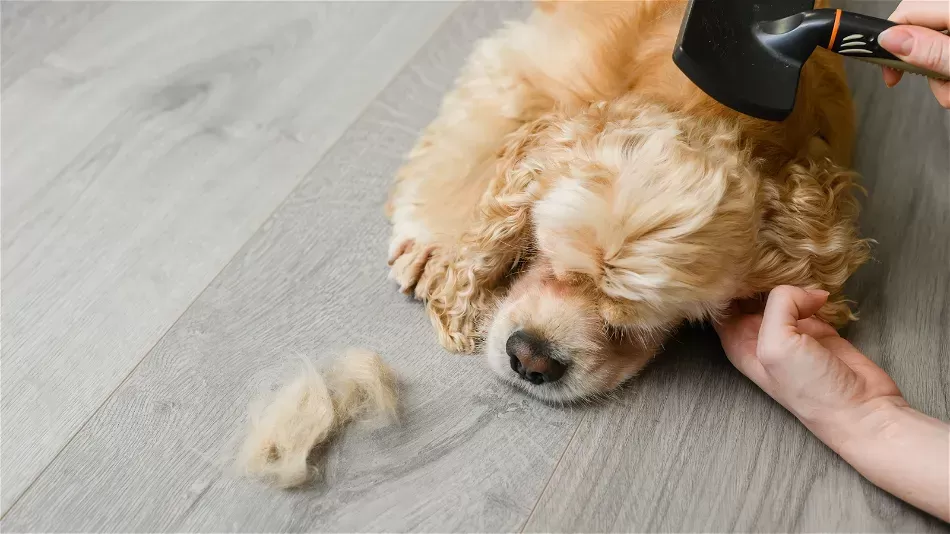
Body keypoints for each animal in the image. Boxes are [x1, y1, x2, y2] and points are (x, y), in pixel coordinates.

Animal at [384, 0, 872, 402]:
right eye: (542, 252)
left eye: (634, 324)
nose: (529, 358)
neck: (707, 102)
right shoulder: (529, 66)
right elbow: (472, 140)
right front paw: (435, 248)